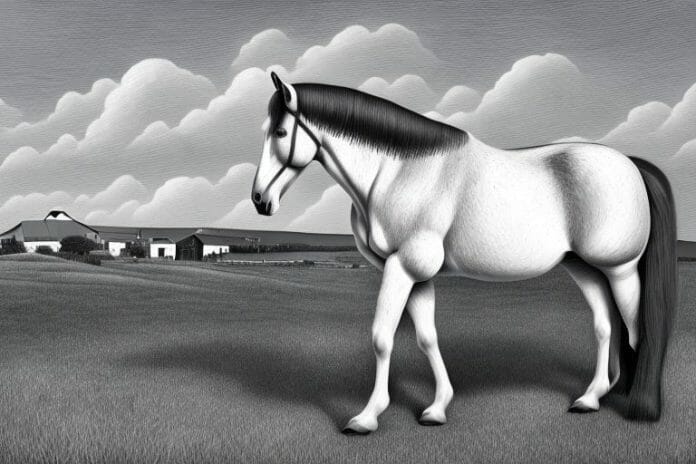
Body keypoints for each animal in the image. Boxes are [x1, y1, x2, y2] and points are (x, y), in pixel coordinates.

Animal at [251, 72, 677, 434]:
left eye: (282, 131)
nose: (259, 200)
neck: (399, 172)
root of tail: (632, 165)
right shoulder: (416, 275)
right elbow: (427, 338)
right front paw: (437, 407)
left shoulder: (403, 268)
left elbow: (382, 337)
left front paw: (367, 417)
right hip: (585, 268)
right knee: (606, 327)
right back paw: (592, 397)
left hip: (621, 269)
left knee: (636, 332)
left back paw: (632, 403)